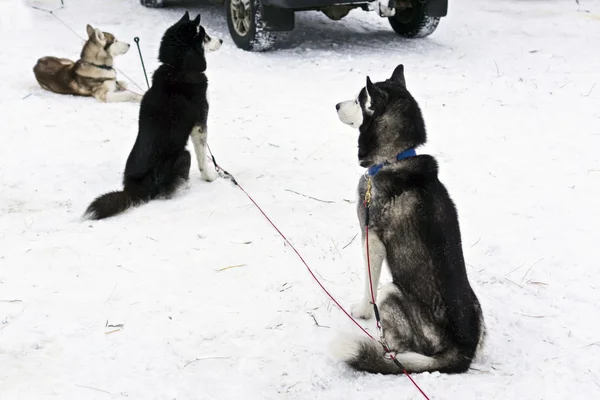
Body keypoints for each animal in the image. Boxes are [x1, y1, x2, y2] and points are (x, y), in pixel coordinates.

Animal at [84, 12, 223, 220]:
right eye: (205, 36)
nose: (221, 40)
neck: (178, 68)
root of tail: (134, 190)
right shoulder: (200, 125)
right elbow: (202, 158)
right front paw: (210, 176)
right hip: (184, 155)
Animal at [332, 64, 482, 374]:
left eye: (358, 99)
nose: (336, 105)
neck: (394, 157)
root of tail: (462, 351)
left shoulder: (371, 239)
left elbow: (369, 287)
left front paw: (361, 311)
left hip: (392, 290)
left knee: (394, 345)